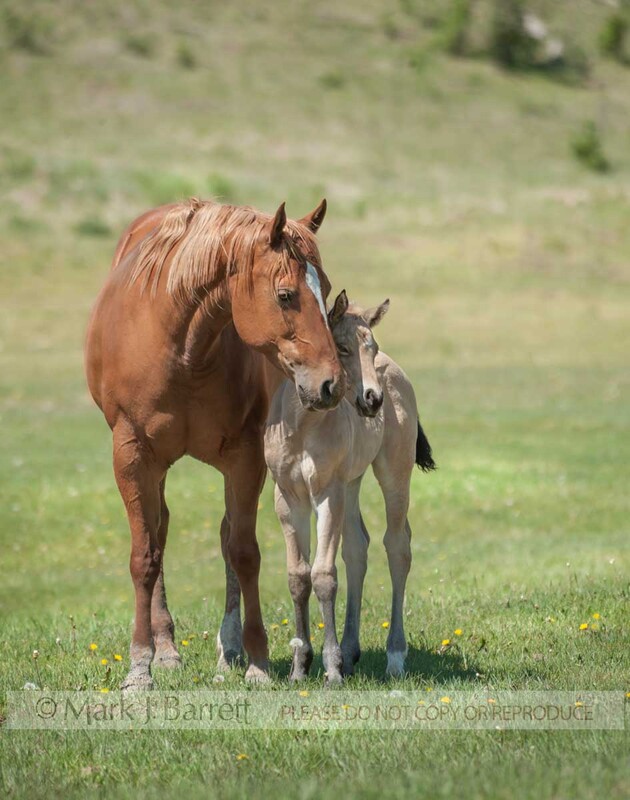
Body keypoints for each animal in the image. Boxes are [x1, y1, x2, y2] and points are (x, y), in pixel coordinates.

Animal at [84, 197, 345, 688]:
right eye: (286, 295)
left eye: (326, 289)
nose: (331, 384)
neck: (182, 348)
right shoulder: (132, 456)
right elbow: (144, 555)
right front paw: (140, 666)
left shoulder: (244, 458)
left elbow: (243, 551)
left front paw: (258, 661)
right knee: (160, 532)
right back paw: (166, 649)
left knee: (224, 536)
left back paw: (229, 649)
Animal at [264, 291, 435, 683]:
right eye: (341, 348)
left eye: (372, 348)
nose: (373, 399)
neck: (304, 427)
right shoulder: (288, 498)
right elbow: (298, 577)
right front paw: (300, 667)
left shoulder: (328, 491)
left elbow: (324, 575)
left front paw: (331, 669)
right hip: (353, 481)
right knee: (358, 546)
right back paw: (351, 651)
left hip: (392, 474)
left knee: (397, 546)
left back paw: (394, 657)